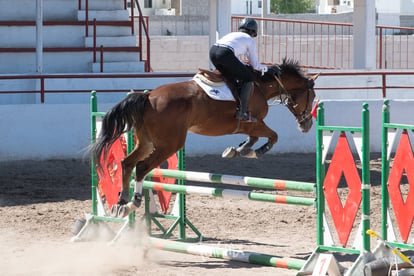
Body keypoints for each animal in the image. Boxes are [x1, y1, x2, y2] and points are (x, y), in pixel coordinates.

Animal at [91, 58, 316, 218]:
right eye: (312, 96)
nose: (307, 125)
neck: (261, 86)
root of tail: (148, 97)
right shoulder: (254, 122)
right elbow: (273, 136)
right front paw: (255, 151)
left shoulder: (249, 126)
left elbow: (252, 139)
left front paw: (238, 150)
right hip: (169, 144)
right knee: (142, 167)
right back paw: (134, 202)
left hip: (146, 143)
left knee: (127, 163)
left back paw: (122, 203)